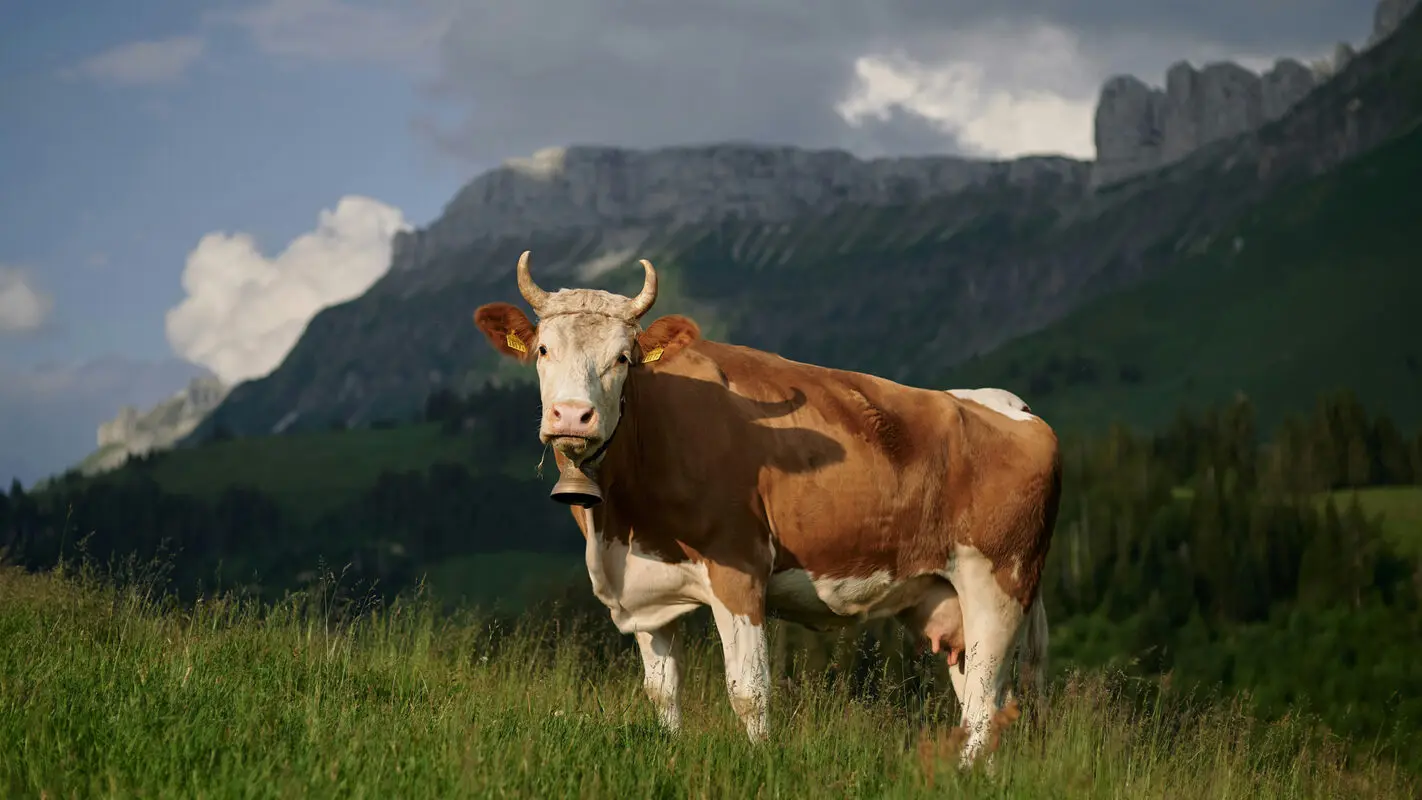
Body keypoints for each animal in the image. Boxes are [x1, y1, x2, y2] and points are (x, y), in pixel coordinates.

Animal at [472, 252, 1063, 767]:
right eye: (543, 350)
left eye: (622, 358)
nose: (573, 416)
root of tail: (1010, 404)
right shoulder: (648, 590)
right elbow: (662, 693)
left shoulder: (739, 568)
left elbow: (749, 690)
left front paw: (759, 762)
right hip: (950, 599)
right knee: (984, 703)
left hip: (1000, 583)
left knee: (984, 706)